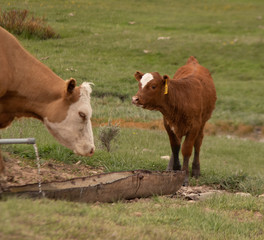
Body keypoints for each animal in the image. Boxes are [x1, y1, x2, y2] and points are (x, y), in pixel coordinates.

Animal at [132, 56, 217, 186]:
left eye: (153, 86)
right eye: (139, 84)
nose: (135, 99)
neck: (182, 98)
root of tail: (193, 61)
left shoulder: (194, 127)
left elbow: (186, 149)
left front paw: (185, 176)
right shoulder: (168, 124)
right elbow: (175, 147)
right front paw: (176, 169)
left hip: (203, 123)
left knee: (198, 143)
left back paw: (196, 170)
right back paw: (169, 168)